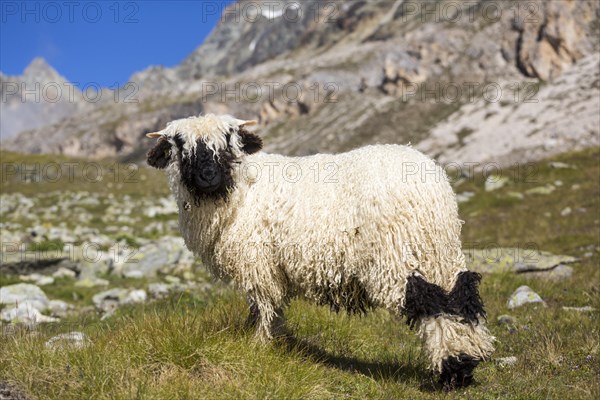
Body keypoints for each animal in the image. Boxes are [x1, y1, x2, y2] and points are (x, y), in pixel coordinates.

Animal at [144, 114, 492, 390]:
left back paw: (451, 372)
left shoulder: (258, 264)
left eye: (229, 142)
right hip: (438, 252)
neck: (239, 190)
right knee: (461, 298)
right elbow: (273, 308)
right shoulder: (270, 268)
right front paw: (274, 342)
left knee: (432, 302)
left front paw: (257, 344)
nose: (208, 176)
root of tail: (433, 183)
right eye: (180, 146)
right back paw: (465, 366)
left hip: (399, 256)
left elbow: (262, 308)